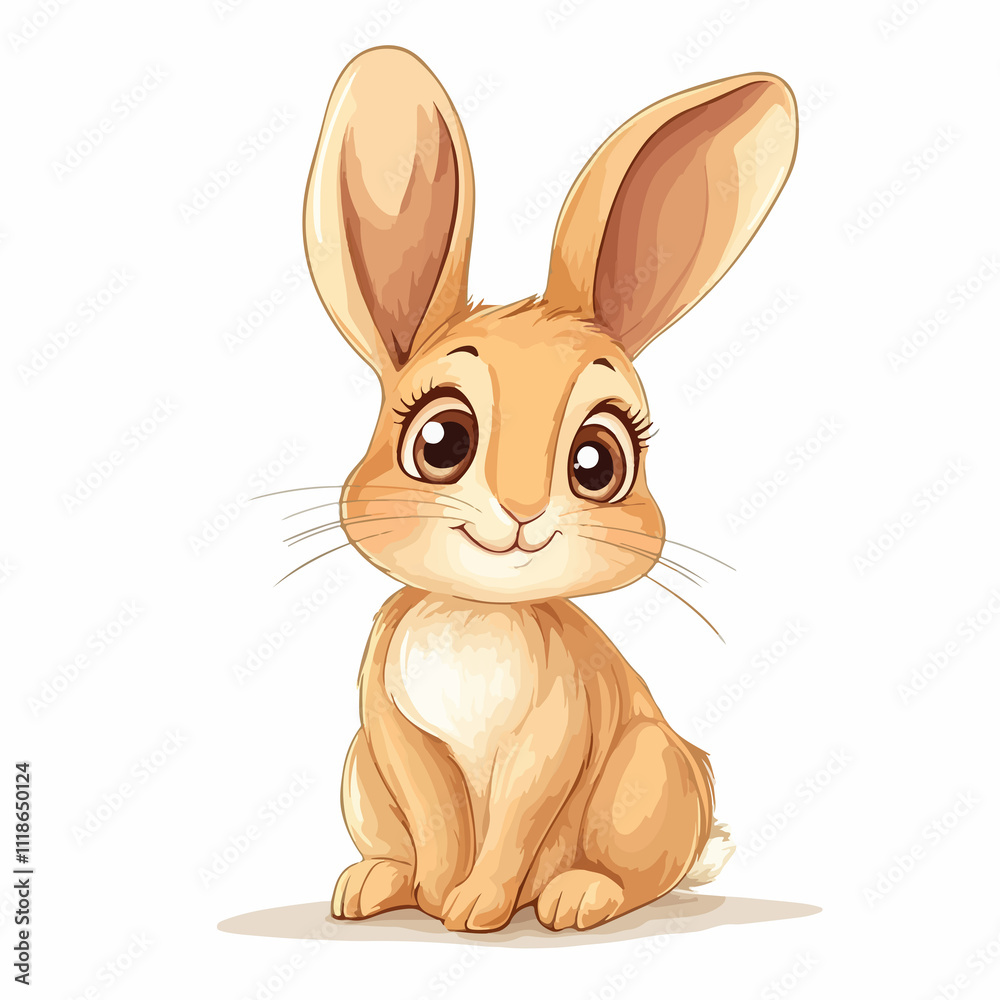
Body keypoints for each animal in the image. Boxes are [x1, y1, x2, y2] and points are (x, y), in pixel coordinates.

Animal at [301, 46, 797, 932]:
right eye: (441, 441)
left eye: (598, 461)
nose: (525, 514)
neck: (477, 613)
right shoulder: (390, 728)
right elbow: (437, 816)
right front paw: (440, 898)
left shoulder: (554, 739)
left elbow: (512, 826)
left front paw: (475, 910)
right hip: (359, 772)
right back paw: (373, 884)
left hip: (644, 771)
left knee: (641, 877)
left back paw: (575, 895)